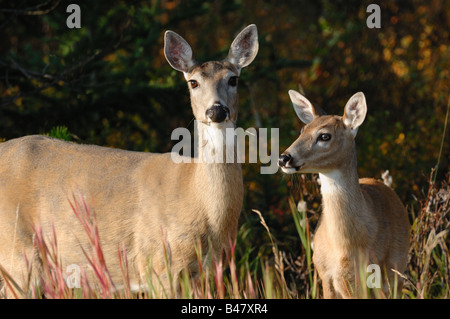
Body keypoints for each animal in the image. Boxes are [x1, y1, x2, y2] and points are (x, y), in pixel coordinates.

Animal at [0, 25, 258, 298]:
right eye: (193, 82)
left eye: (233, 79)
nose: (216, 110)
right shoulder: (158, 264)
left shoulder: (207, 270)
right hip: (16, 252)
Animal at [280, 90, 410, 300]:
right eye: (302, 130)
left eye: (325, 136)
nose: (284, 158)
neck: (344, 246)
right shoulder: (325, 274)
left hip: (397, 268)